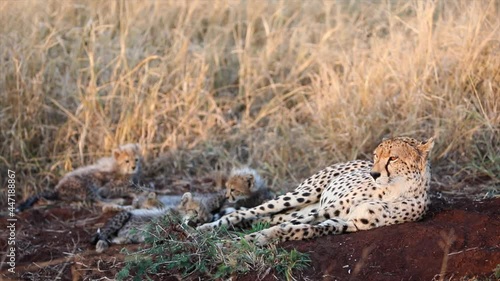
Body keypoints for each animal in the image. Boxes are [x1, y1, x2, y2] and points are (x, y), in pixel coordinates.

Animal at [197, 137, 436, 244]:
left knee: (268, 218)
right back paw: (208, 228)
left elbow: (302, 229)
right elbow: (292, 225)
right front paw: (237, 241)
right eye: (376, 156)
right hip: (303, 195)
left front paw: (265, 237)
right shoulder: (329, 209)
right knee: (246, 212)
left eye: (393, 158)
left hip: (300, 207)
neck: (392, 189)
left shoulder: (350, 222)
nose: (373, 173)